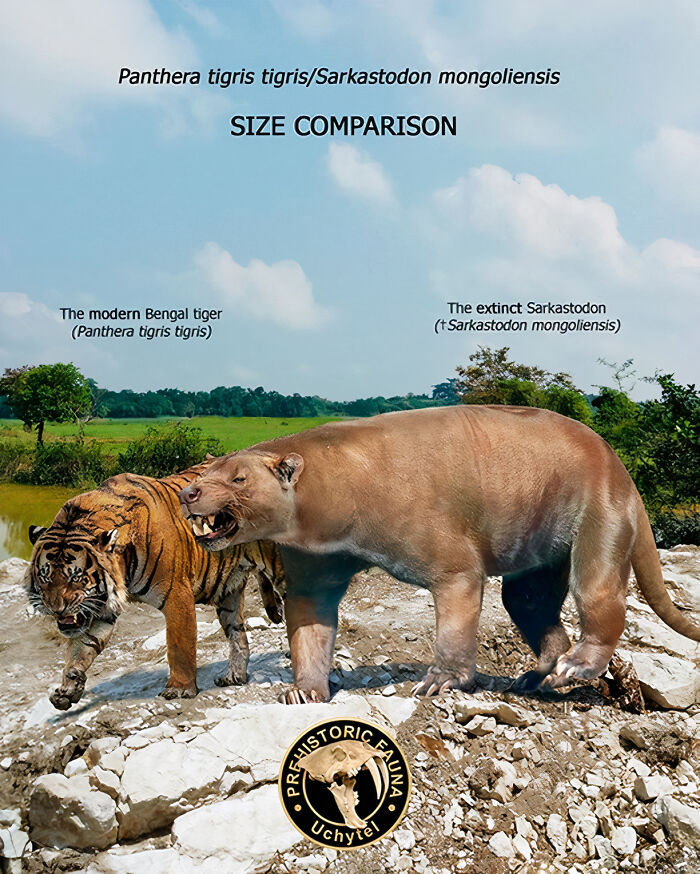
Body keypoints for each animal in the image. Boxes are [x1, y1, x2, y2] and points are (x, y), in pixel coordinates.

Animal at [26, 461, 285, 710]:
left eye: (76, 577)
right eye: (45, 577)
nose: (56, 609)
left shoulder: (177, 596)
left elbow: (179, 646)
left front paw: (179, 690)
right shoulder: (100, 607)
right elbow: (81, 647)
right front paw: (68, 688)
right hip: (228, 593)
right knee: (238, 636)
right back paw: (234, 677)